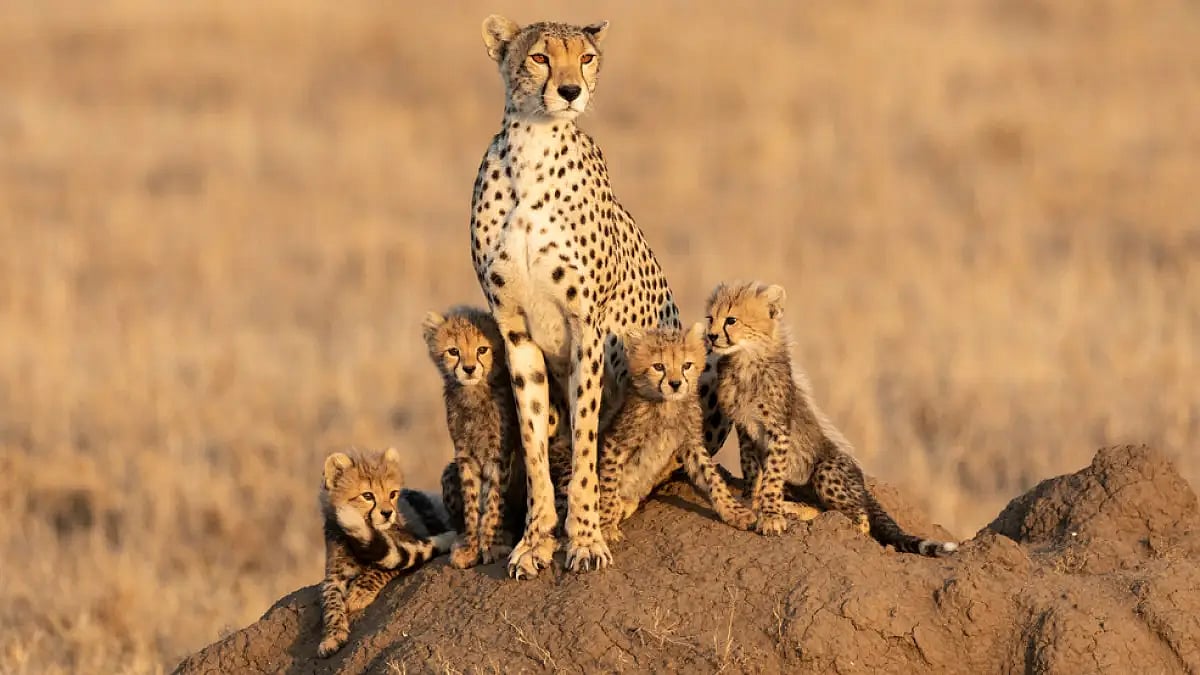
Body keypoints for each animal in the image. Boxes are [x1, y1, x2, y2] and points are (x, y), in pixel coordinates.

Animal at [469, 15, 735, 578]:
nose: (571, 91)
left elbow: (588, 441)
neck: (533, 148)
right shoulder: (514, 330)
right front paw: (535, 541)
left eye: (586, 57)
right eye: (540, 57)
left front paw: (586, 538)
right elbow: (534, 441)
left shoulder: (586, 327)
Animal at [705, 281, 959, 557]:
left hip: (826, 470)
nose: (711, 336)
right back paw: (793, 508)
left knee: (860, 518)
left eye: (731, 320)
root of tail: (863, 484)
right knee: (823, 509)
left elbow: (772, 476)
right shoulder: (745, 429)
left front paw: (770, 514)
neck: (745, 358)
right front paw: (751, 499)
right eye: (710, 318)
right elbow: (751, 467)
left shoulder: (778, 430)